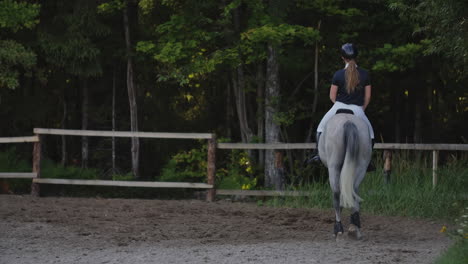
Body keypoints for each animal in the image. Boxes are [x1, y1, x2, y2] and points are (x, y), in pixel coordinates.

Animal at [320, 111, 372, 239]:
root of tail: (348, 120)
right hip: (361, 166)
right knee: (353, 192)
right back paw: (355, 228)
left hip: (334, 167)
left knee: (336, 194)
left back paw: (338, 229)